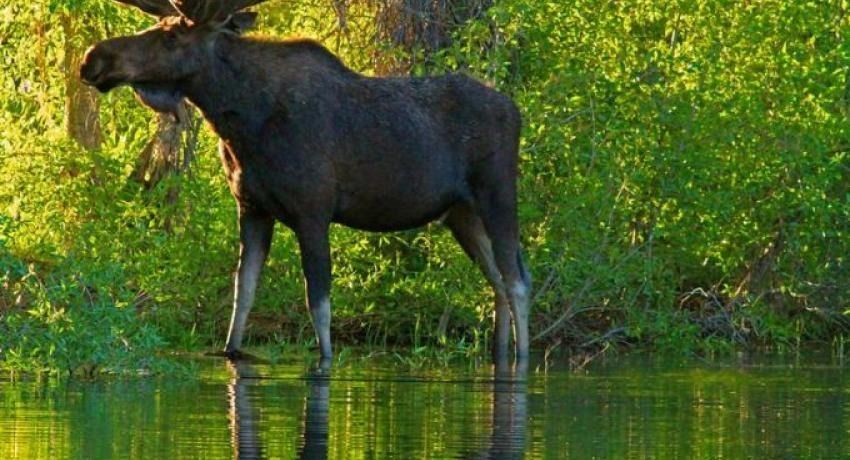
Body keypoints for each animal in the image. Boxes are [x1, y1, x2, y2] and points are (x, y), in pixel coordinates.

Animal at [80, 0, 531, 362]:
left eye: (172, 35)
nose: (93, 58)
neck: (241, 123)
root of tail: (515, 110)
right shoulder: (252, 207)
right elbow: (243, 290)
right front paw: (231, 350)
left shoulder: (312, 209)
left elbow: (318, 301)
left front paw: (325, 358)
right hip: (460, 213)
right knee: (497, 281)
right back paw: (499, 353)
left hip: (497, 194)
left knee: (517, 281)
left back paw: (521, 358)